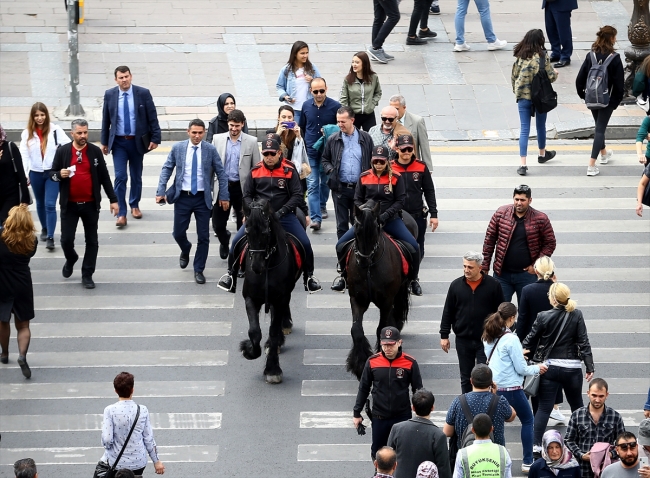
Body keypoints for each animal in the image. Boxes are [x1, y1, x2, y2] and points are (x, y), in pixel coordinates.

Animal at [237, 199, 300, 384]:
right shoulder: (250, 298)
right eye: (247, 232)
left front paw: (272, 369)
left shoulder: (280, 298)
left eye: (265, 233)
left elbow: (272, 330)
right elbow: (254, 331)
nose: (256, 267)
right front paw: (249, 350)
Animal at [344, 200, 410, 380]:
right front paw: (359, 364)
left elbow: (382, 328)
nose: (363, 262)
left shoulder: (386, 300)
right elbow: (356, 330)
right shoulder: (357, 299)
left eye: (375, 230)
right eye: (357, 231)